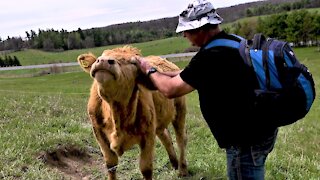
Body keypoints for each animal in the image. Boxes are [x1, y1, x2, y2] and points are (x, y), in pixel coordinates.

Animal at [77, 46, 188, 180]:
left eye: (133, 63)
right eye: (101, 55)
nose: (103, 61)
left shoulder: (148, 134)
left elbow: (146, 168)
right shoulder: (98, 133)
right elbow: (110, 164)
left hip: (180, 109)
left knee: (180, 139)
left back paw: (182, 169)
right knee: (165, 136)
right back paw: (174, 163)